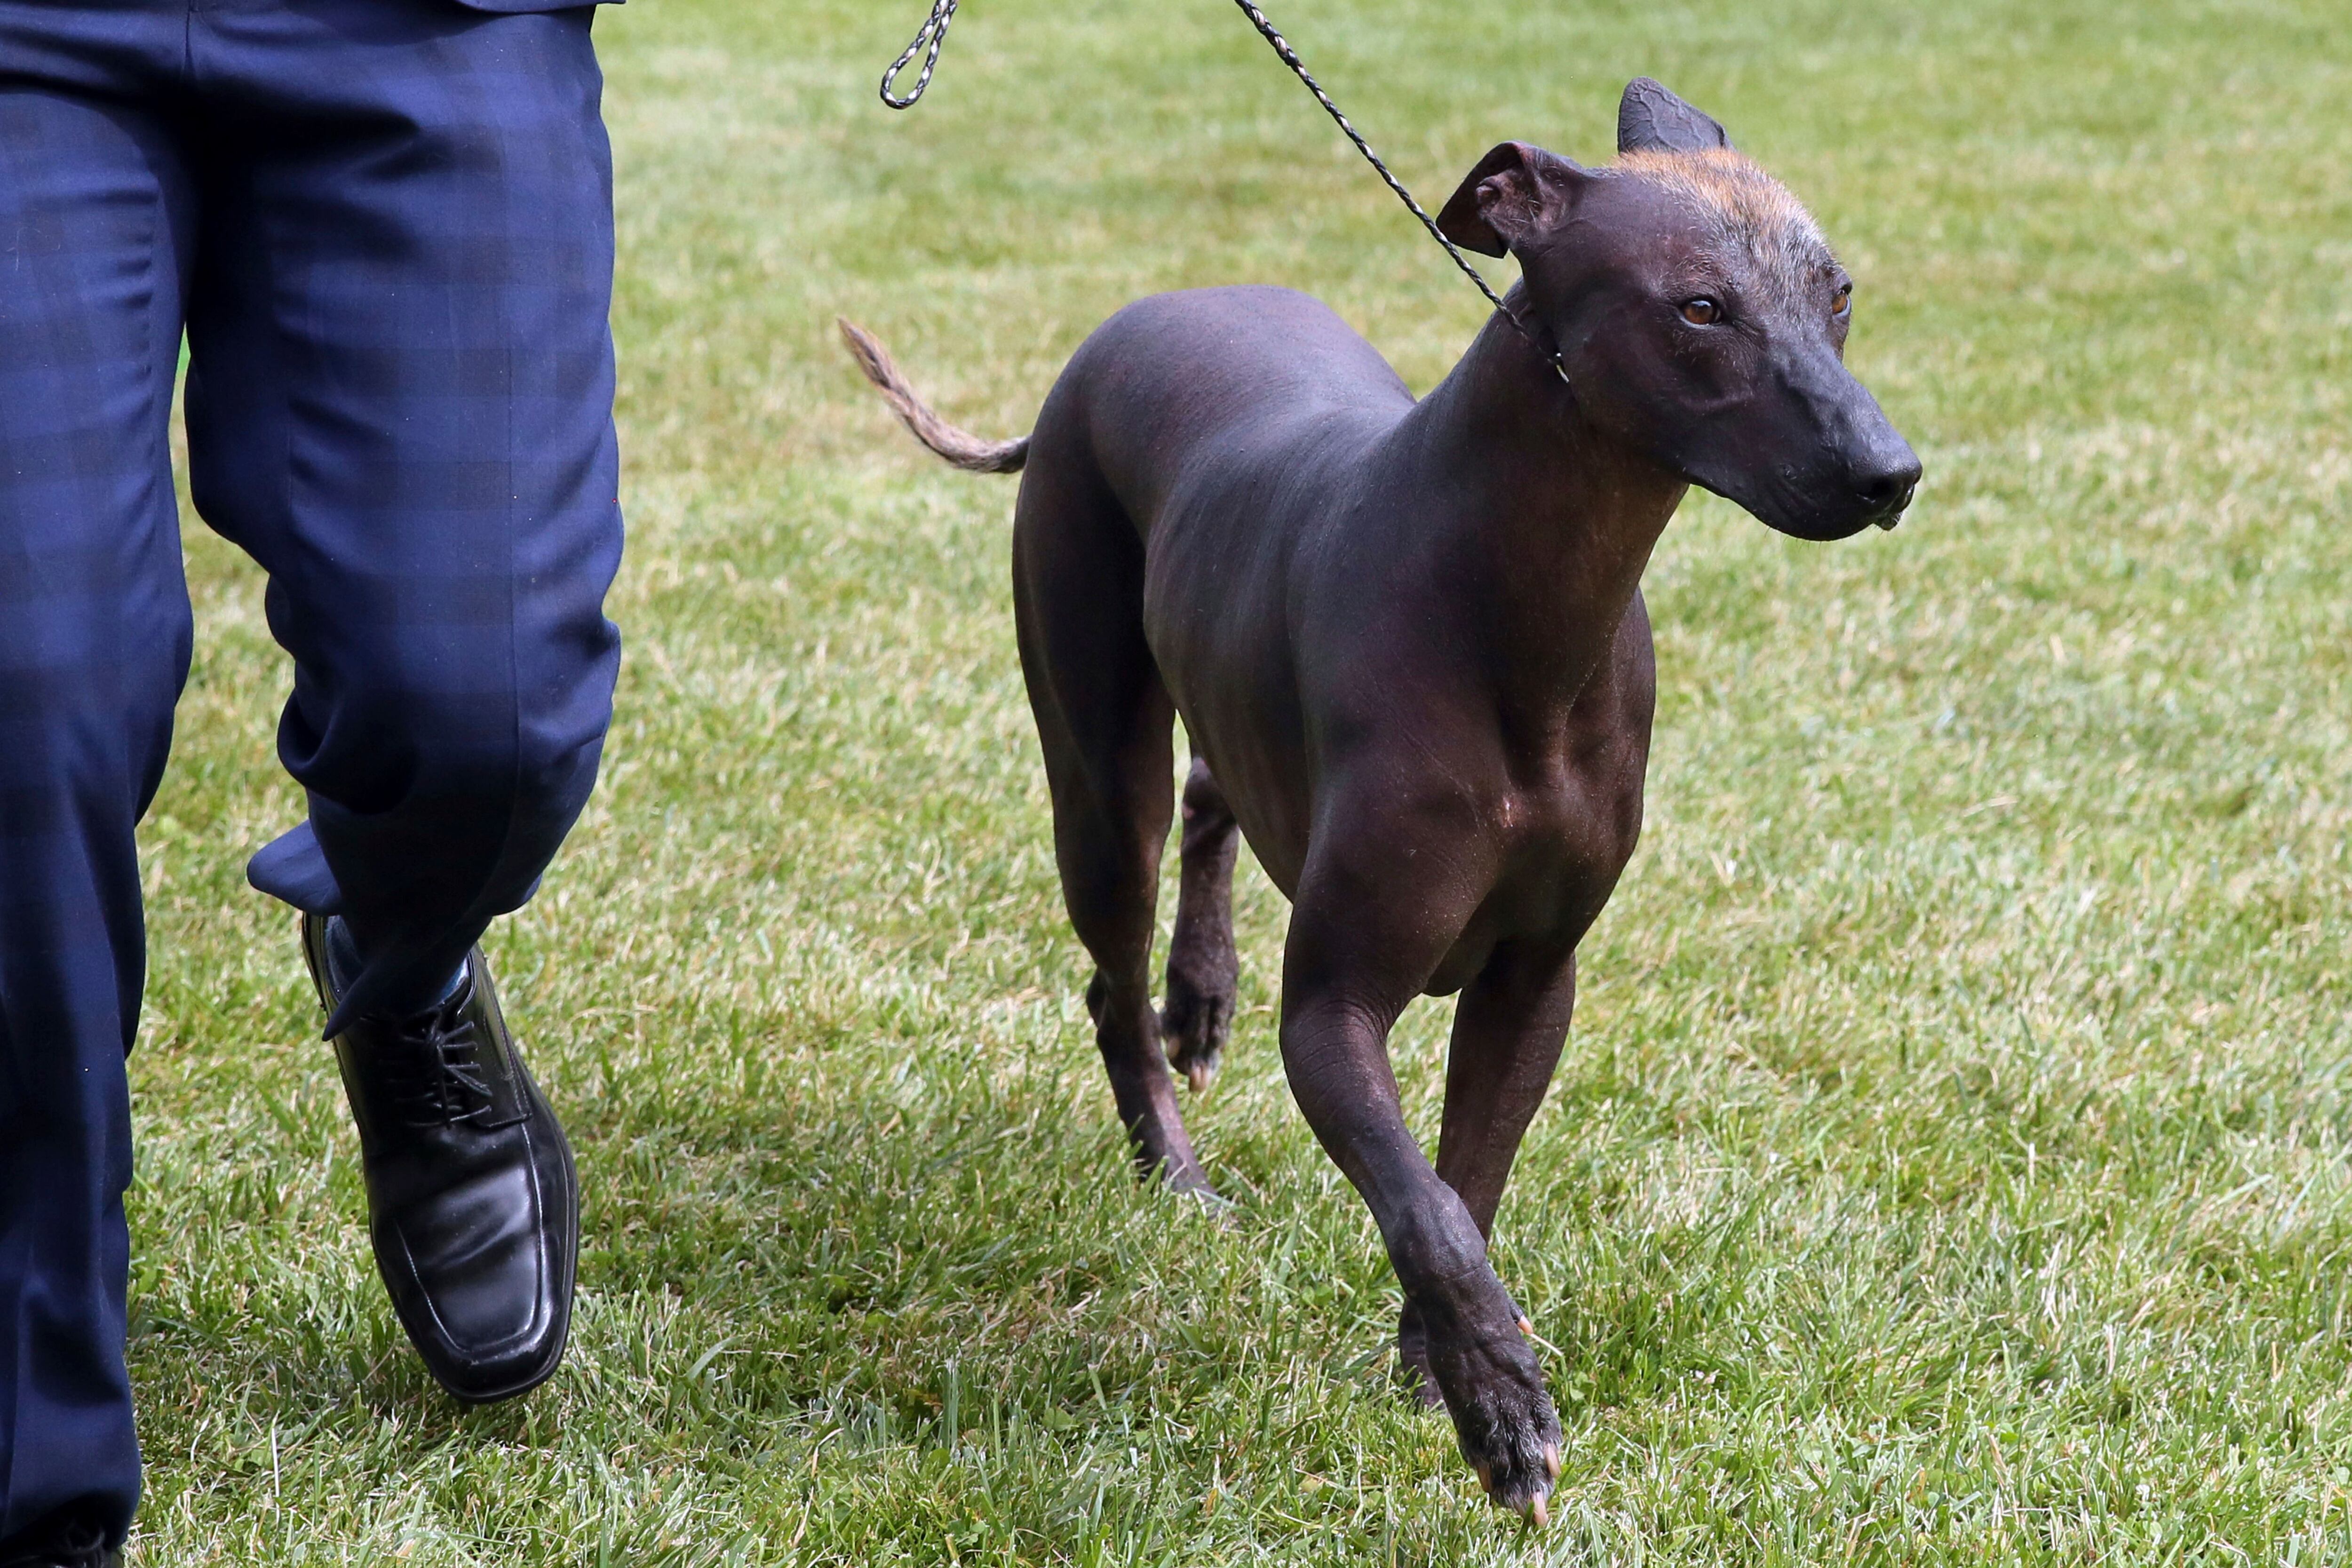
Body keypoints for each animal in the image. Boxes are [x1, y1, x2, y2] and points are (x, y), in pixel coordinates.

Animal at [842, 83, 1910, 1523]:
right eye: (1698, 308)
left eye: (1837, 292)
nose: (1891, 473)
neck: (1524, 614)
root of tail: (1141, 317)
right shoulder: (1335, 1010)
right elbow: (1427, 1207)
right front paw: (1501, 1401)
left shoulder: (1535, 981)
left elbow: (1468, 1177)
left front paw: (1439, 1365)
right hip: (1094, 767)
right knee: (1114, 960)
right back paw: (1175, 1167)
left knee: (1214, 797)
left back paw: (1201, 990)